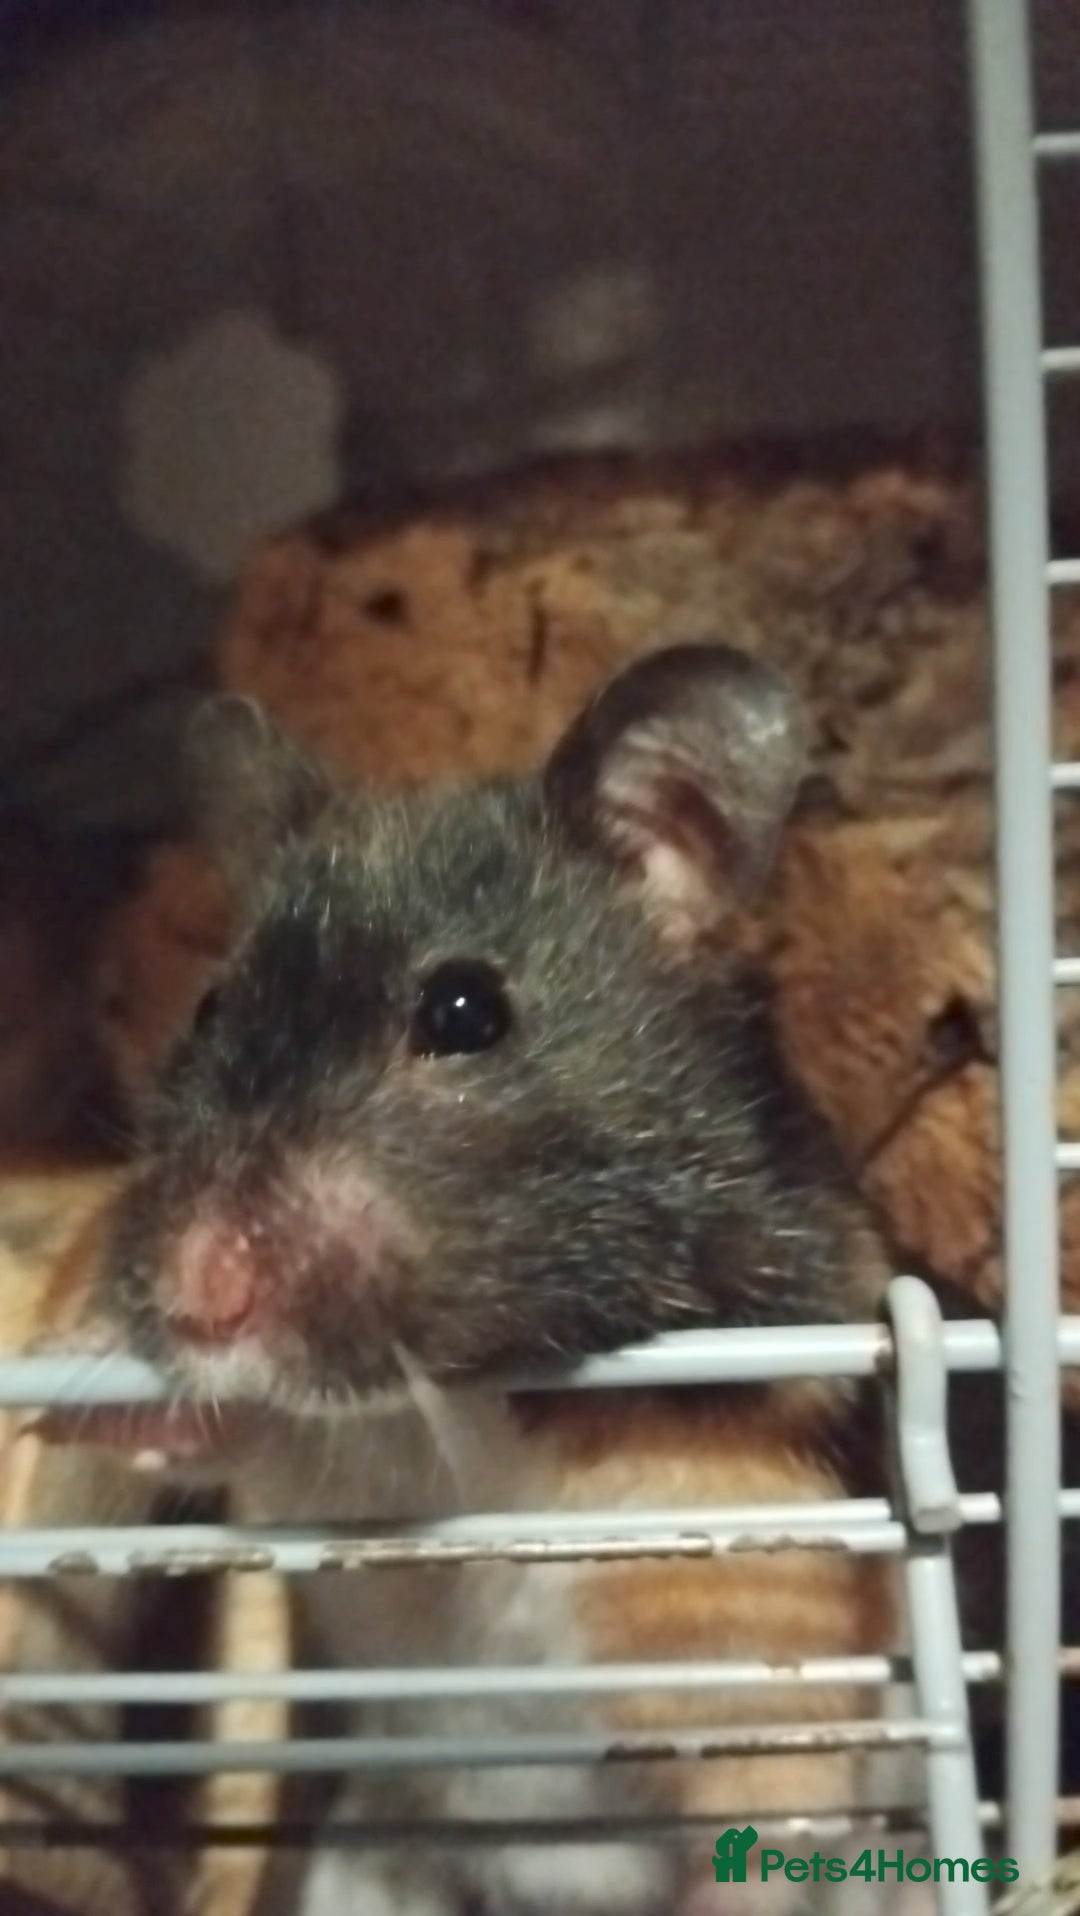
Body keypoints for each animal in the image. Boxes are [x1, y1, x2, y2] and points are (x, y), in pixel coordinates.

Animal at [92, 643, 910, 1916]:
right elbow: (266, 1437)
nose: (192, 1296)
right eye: (210, 1005)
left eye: (465, 1009)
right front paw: (111, 1421)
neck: (470, 1388)